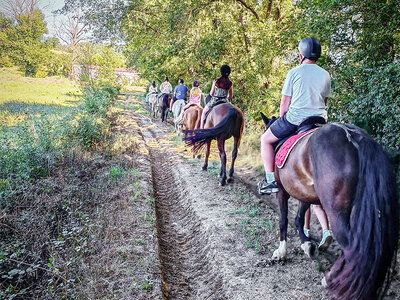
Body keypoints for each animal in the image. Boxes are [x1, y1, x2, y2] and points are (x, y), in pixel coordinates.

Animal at [260, 113, 398, 300]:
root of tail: (355, 137)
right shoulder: (305, 192)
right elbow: (298, 218)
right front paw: (307, 245)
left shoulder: (281, 191)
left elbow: (284, 220)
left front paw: (281, 252)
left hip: (336, 212)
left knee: (351, 246)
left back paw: (331, 279)